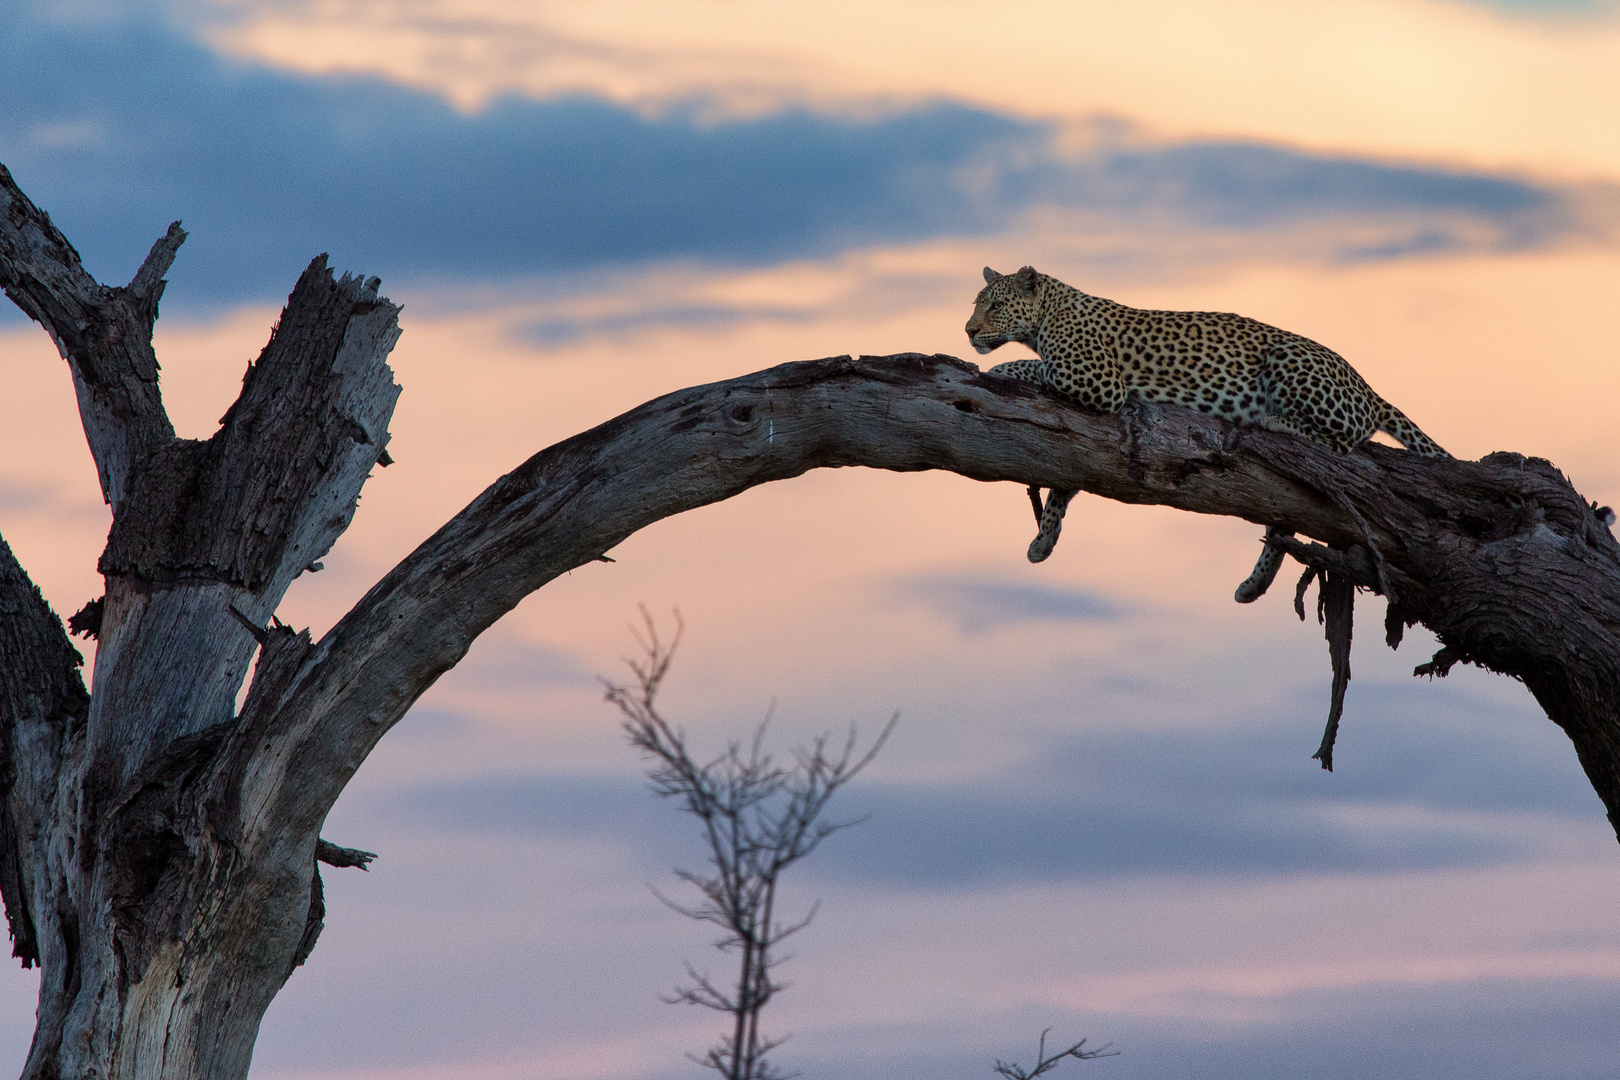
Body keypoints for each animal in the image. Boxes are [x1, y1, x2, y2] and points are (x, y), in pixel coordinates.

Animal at [965, 260, 1451, 599]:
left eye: (995, 305)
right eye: (976, 303)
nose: (968, 331)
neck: (1048, 314)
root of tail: (1369, 389)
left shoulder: (1098, 381)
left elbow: (1035, 366)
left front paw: (999, 368)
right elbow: (1065, 484)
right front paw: (1043, 540)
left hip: (1289, 358)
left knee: (1342, 442)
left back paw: (1273, 418)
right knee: (1286, 520)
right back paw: (1253, 585)